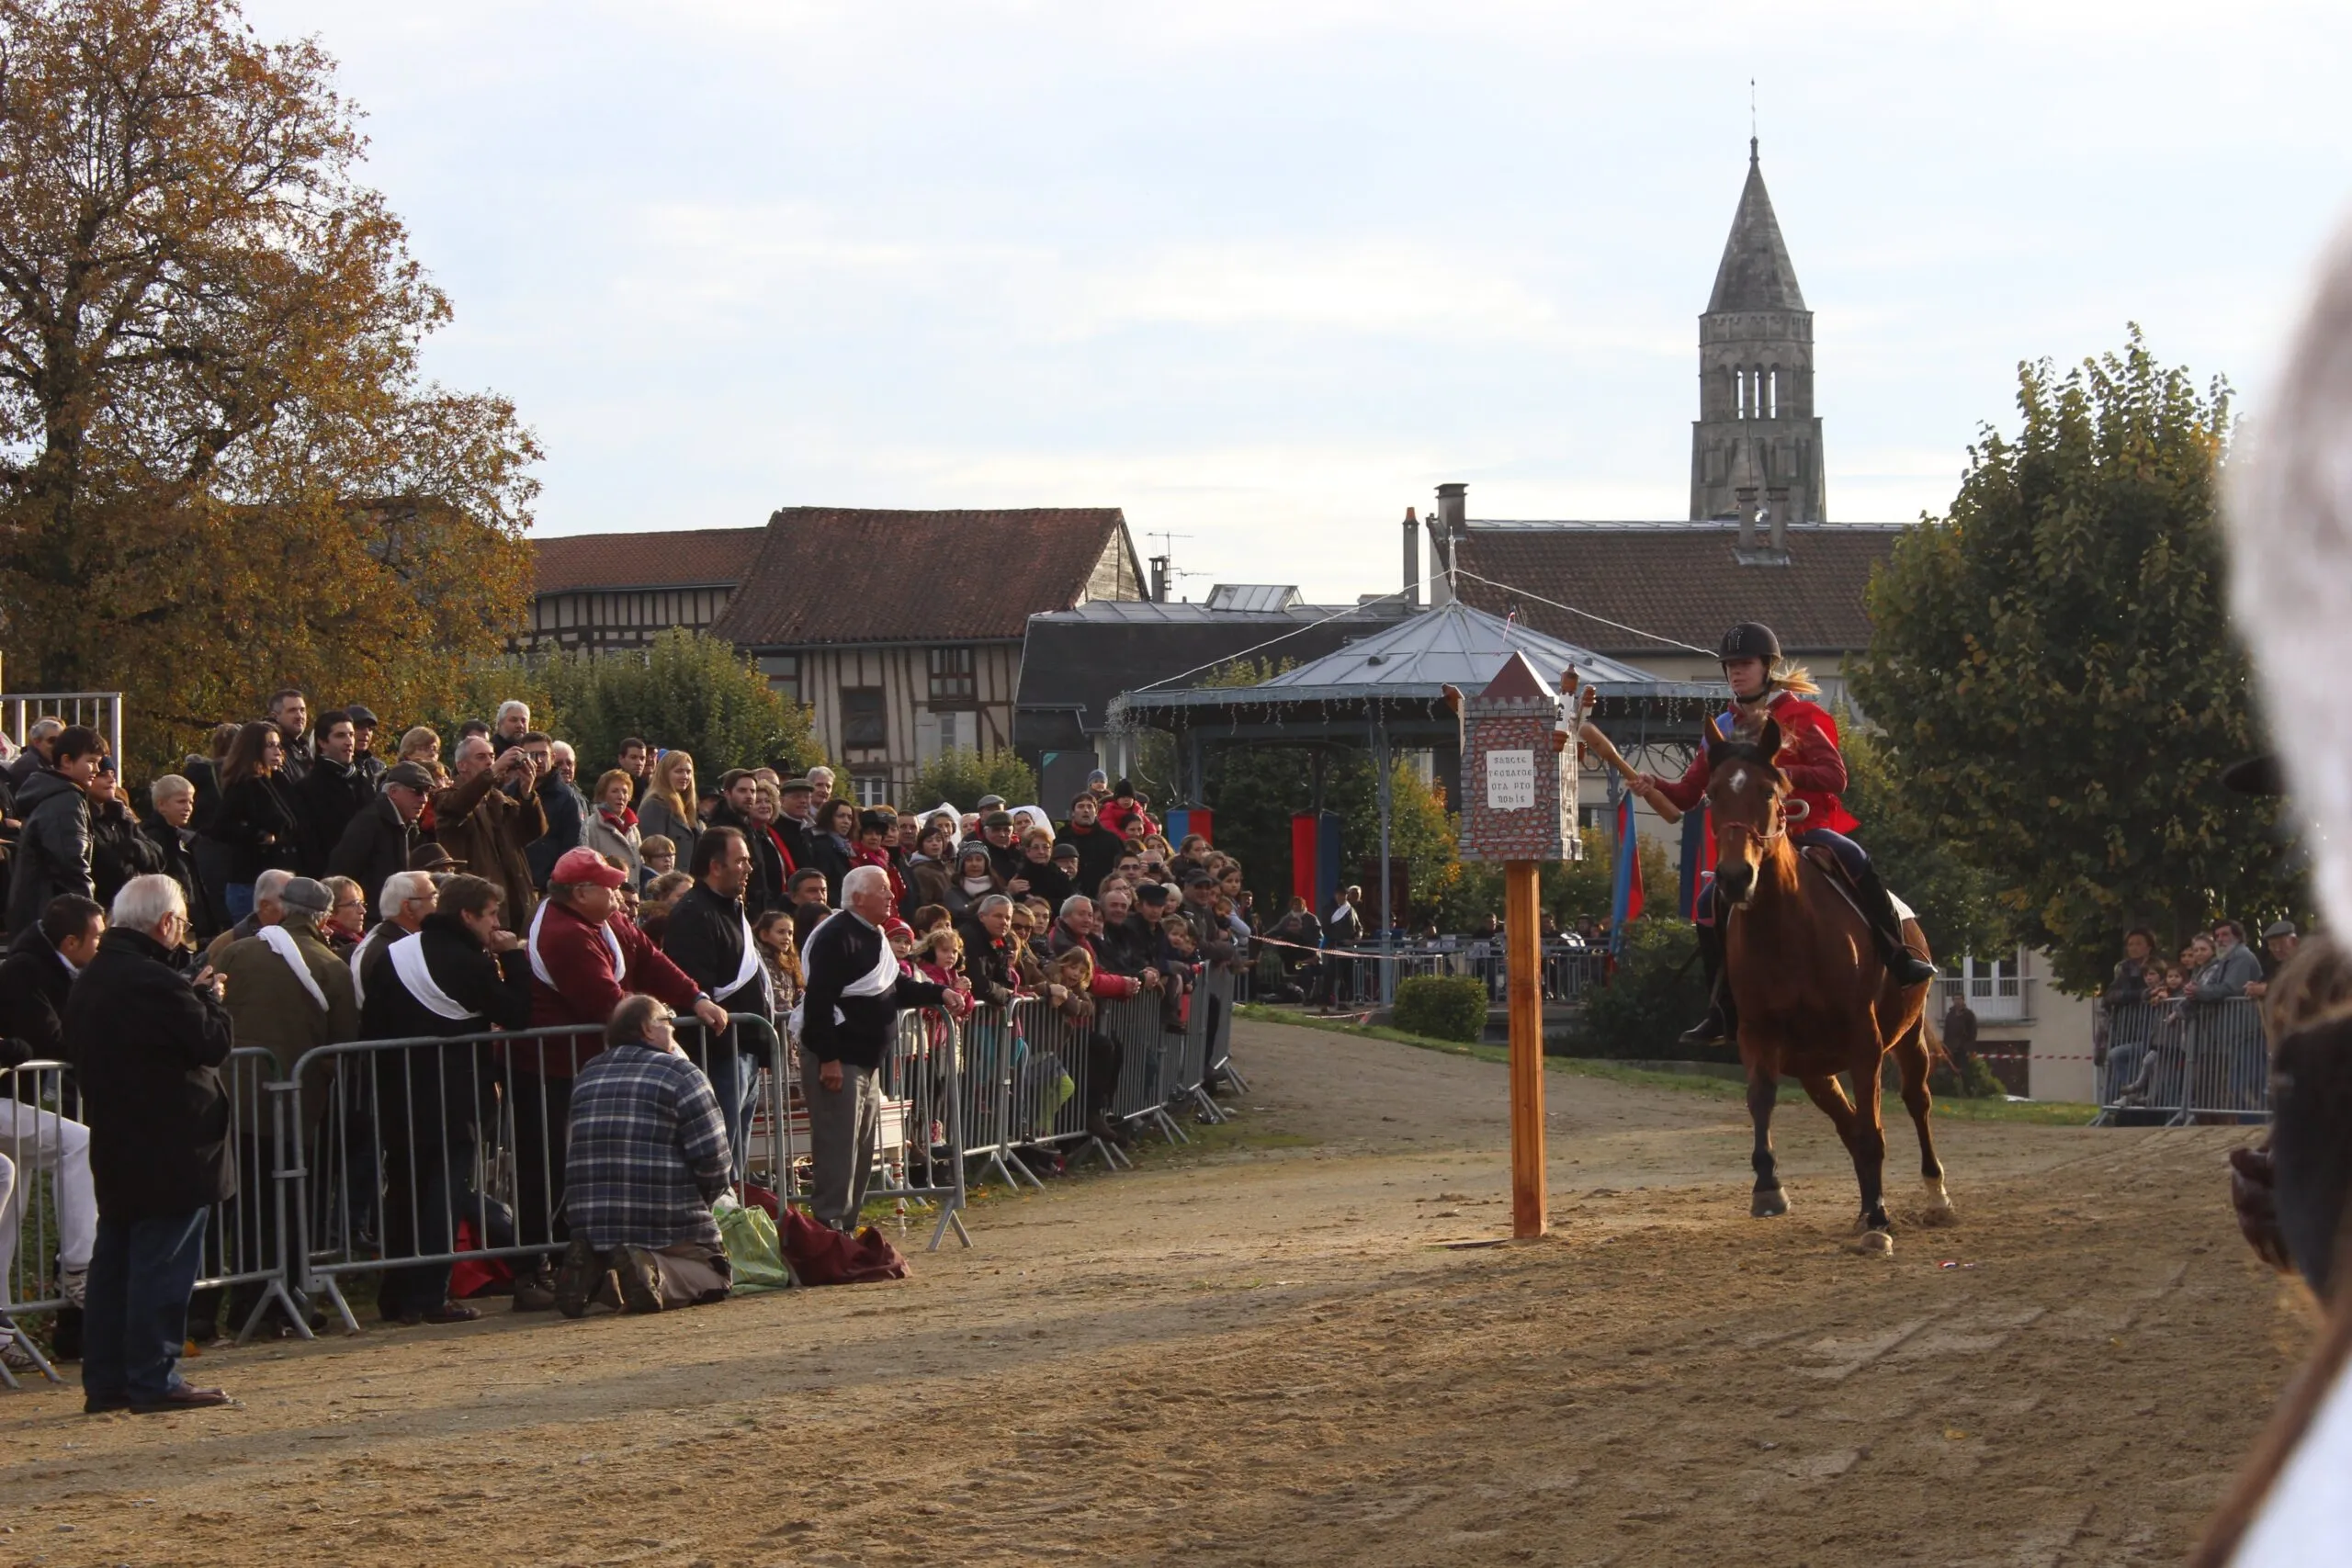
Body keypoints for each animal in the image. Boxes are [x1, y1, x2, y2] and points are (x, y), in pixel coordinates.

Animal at [1712, 719, 1947, 1250]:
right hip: (1816, 1070)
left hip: (1910, 1037)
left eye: (1768, 791)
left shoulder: (1866, 1043)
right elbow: (1761, 1099)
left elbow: (1876, 1130)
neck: (1787, 931)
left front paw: (1880, 1218)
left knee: (1916, 1103)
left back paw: (1933, 1197)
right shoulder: (1758, 1035)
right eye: (1713, 794)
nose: (1735, 877)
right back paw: (1865, 1209)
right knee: (1848, 1125)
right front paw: (1768, 1186)